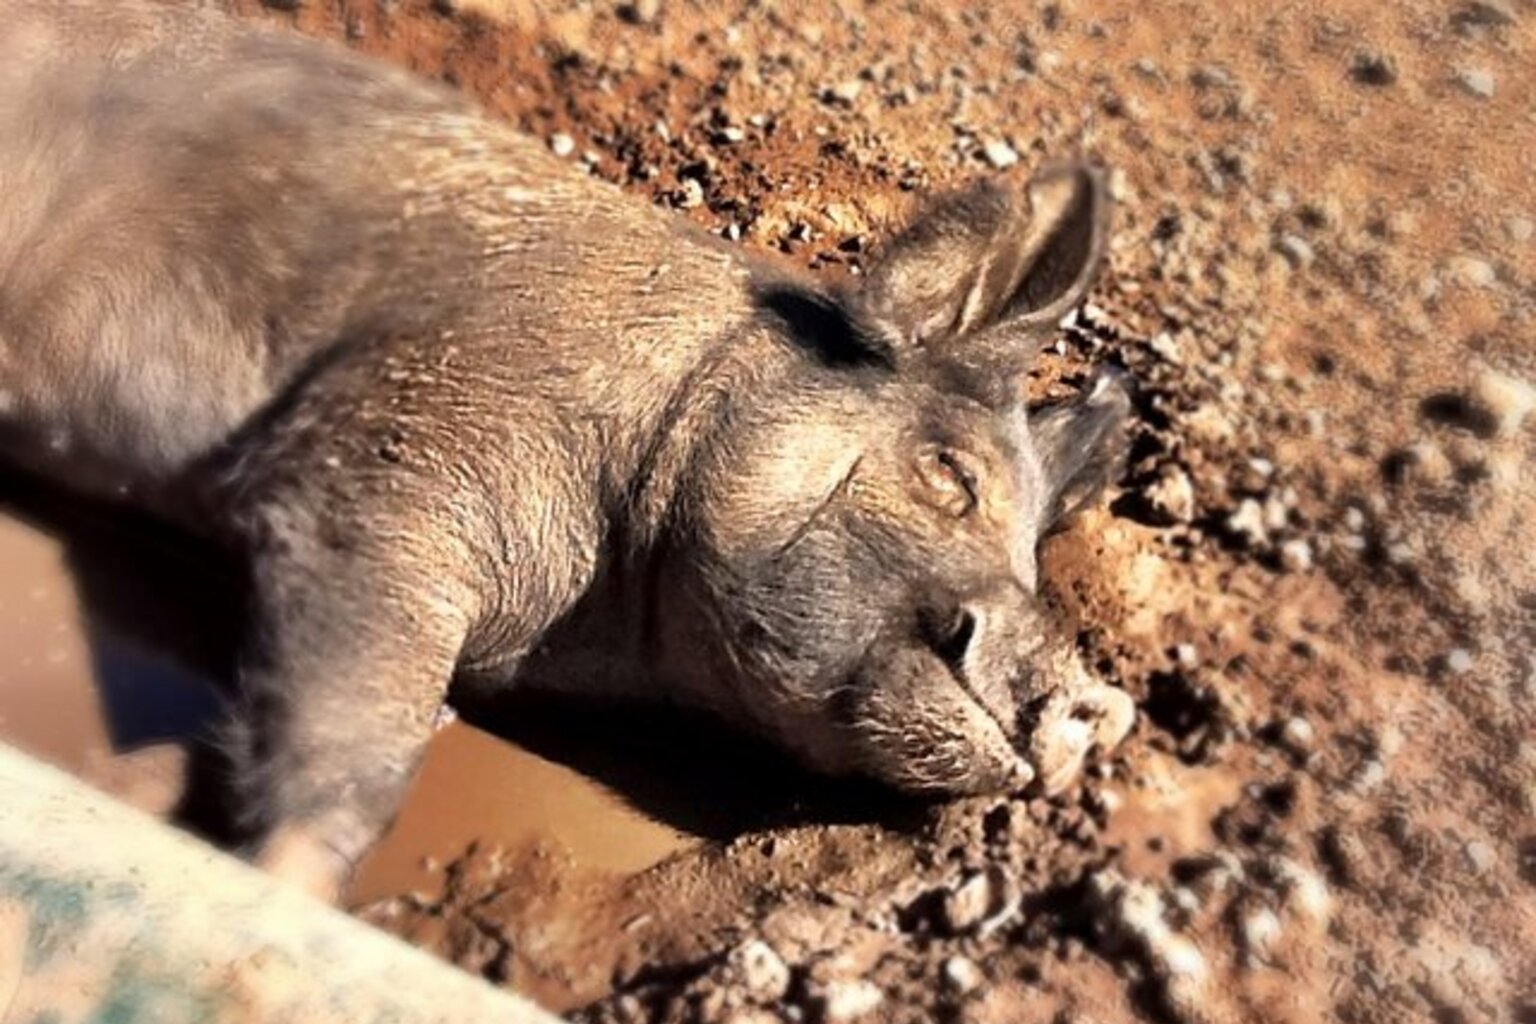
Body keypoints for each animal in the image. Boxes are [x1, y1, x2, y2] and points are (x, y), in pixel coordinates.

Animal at [0, 0, 1135, 899]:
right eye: (949, 474)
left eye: (1034, 557)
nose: (1102, 701)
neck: (596, 628)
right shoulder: (394, 450)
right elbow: (369, 737)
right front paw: (280, 891)